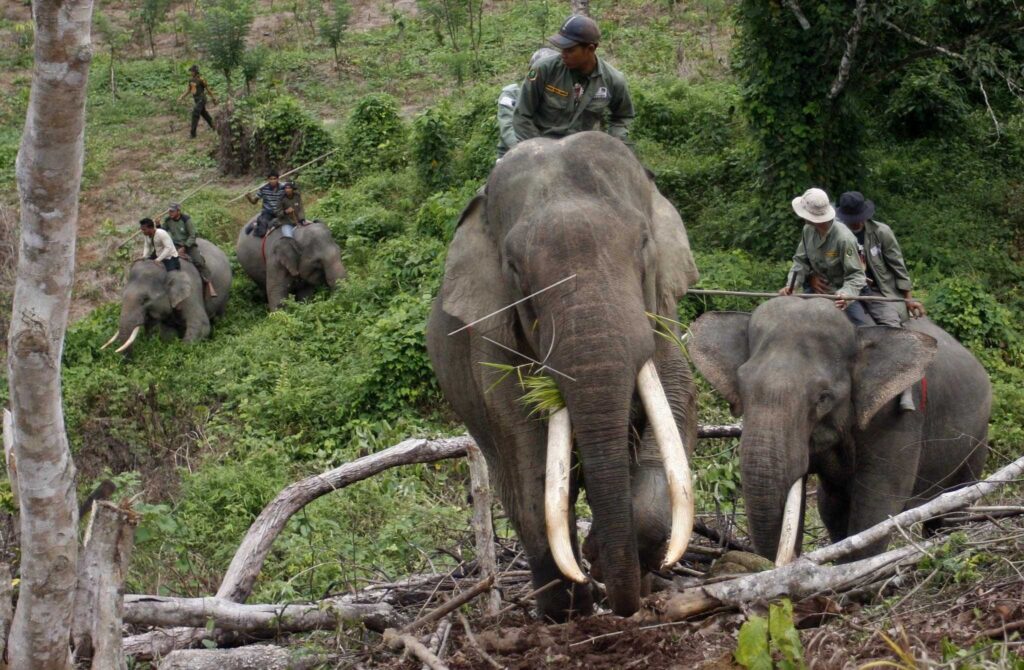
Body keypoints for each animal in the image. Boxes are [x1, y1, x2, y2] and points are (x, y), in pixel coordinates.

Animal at [426, 131, 701, 620]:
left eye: (643, 243)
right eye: (514, 269)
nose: (622, 606)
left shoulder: (664, 315)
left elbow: (675, 396)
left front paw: (604, 559)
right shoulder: (492, 340)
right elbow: (527, 451)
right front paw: (580, 591)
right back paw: (563, 611)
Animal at [688, 297, 990, 564]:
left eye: (824, 397)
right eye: (742, 386)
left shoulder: (895, 415)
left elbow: (878, 504)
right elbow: (833, 509)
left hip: (977, 440)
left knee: (954, 507)